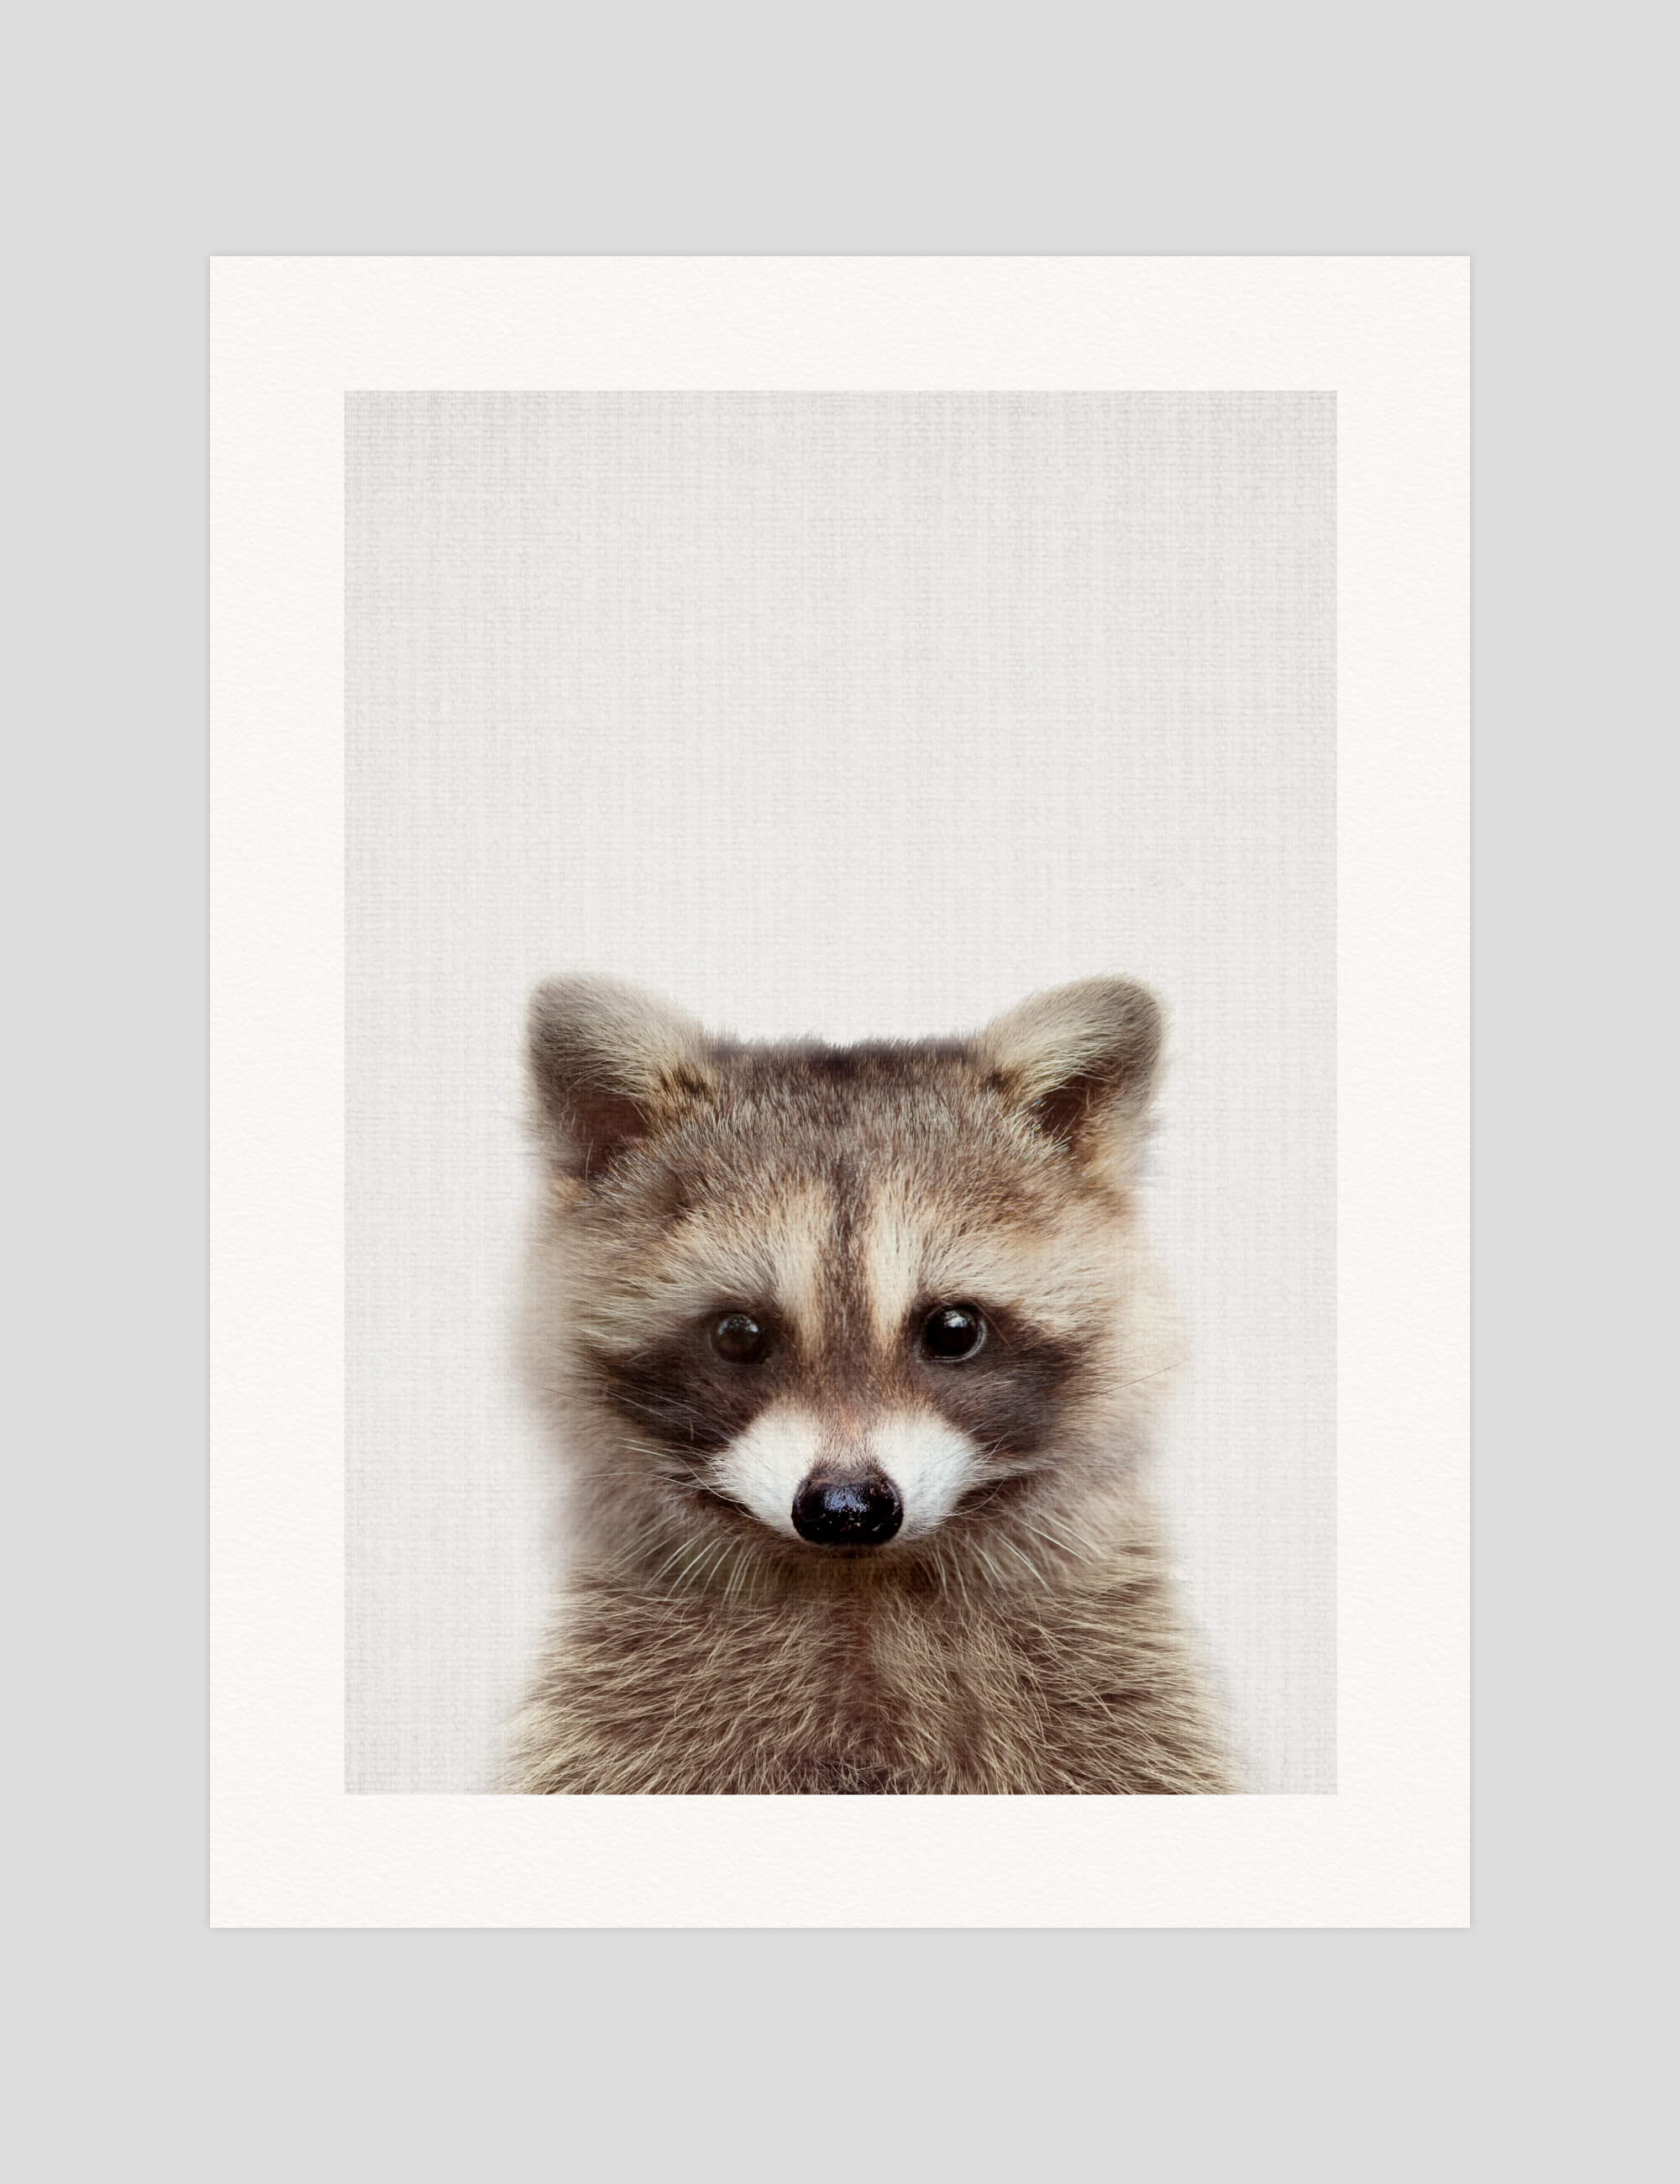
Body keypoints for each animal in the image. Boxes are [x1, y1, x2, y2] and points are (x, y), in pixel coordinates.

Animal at [504, 975, 1233, 1794]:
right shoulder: (618, 1706)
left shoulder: (1117, 1686)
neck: (860, 1590)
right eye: (738, 1334)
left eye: (954, 1329)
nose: (847, 1508)